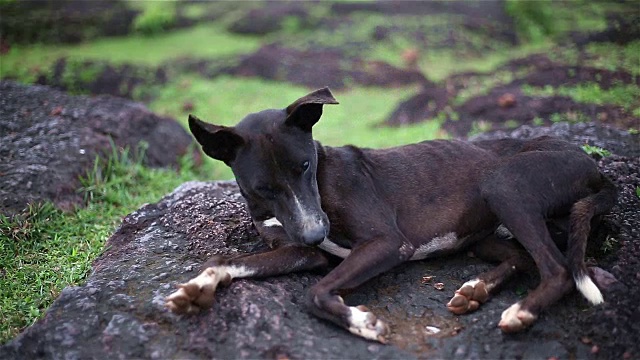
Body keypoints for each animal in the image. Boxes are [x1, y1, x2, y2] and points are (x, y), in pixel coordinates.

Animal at [165, 87, 616, 344]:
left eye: (305, 166)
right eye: (264, 189)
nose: (314, 233)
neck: (323, 177)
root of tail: (596, 168)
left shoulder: (386, 243)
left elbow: (314, 293)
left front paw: (362, 322)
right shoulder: (301, 252)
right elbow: (227, 259)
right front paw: (198, 285)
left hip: (504, 184)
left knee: (557, 269)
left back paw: (522, 311)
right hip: (485, 231)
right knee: (523, 258)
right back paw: (477, 289)